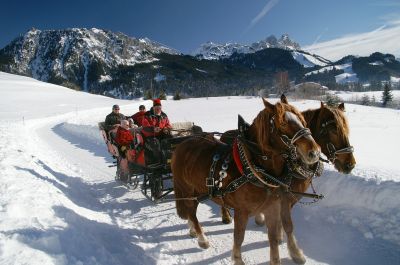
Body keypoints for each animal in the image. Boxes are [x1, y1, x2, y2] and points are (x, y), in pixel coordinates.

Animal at [170, 97, 320, 264]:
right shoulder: (242, 211)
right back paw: (202, 238)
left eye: (302, 120)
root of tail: (182, 144)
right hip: (187, 189)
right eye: (283, 123)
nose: (314, 152)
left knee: (190, 210)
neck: (255, 168)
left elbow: (274, 237)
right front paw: (237, 259)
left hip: (196, 190)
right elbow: (239, 237)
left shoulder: (273, 206)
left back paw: (193, 230)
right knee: (191, 211)